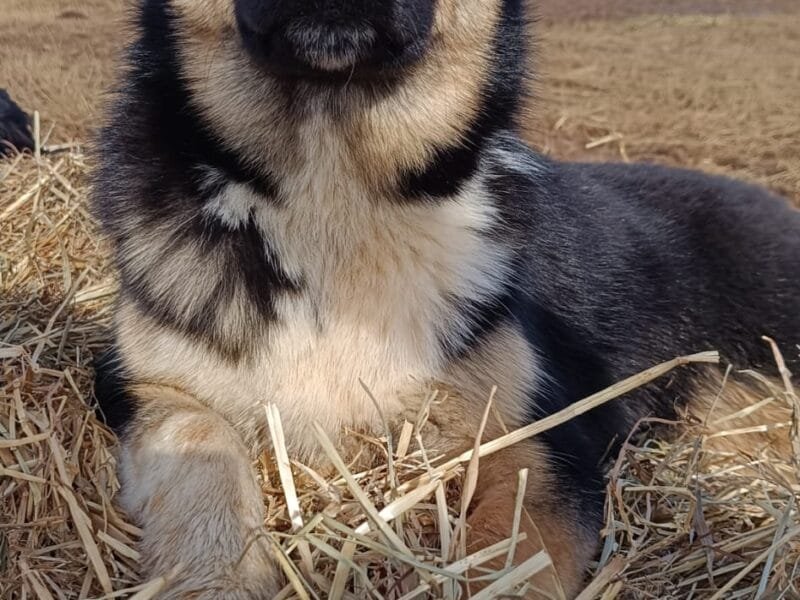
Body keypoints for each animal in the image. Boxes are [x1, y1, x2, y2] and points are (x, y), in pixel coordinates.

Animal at [94, 0, 800, 596]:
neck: (334, 194)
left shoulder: (537, 444)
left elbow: (506, 559)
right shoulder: (147, 388)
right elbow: (197, 435)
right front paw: (216, 573)